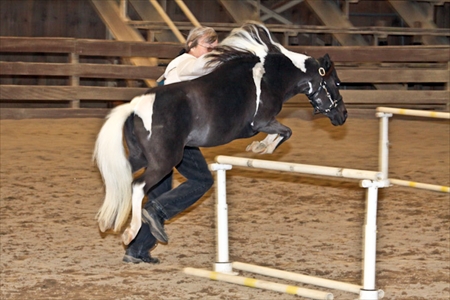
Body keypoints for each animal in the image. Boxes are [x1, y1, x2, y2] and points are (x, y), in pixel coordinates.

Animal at [94, 22, 348, 245]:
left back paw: (106, 220)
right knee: (137, 186)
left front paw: (258, 147)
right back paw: (130, 231)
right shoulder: (262, 121)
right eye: (336, 83)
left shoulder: (265, 123)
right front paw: (262, 148)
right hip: (164, 161)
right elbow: (286, 132)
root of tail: (135, 106)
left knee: (120, 177)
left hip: (141, 157)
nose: (343, 115)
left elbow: (282, 132)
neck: (269, 77)